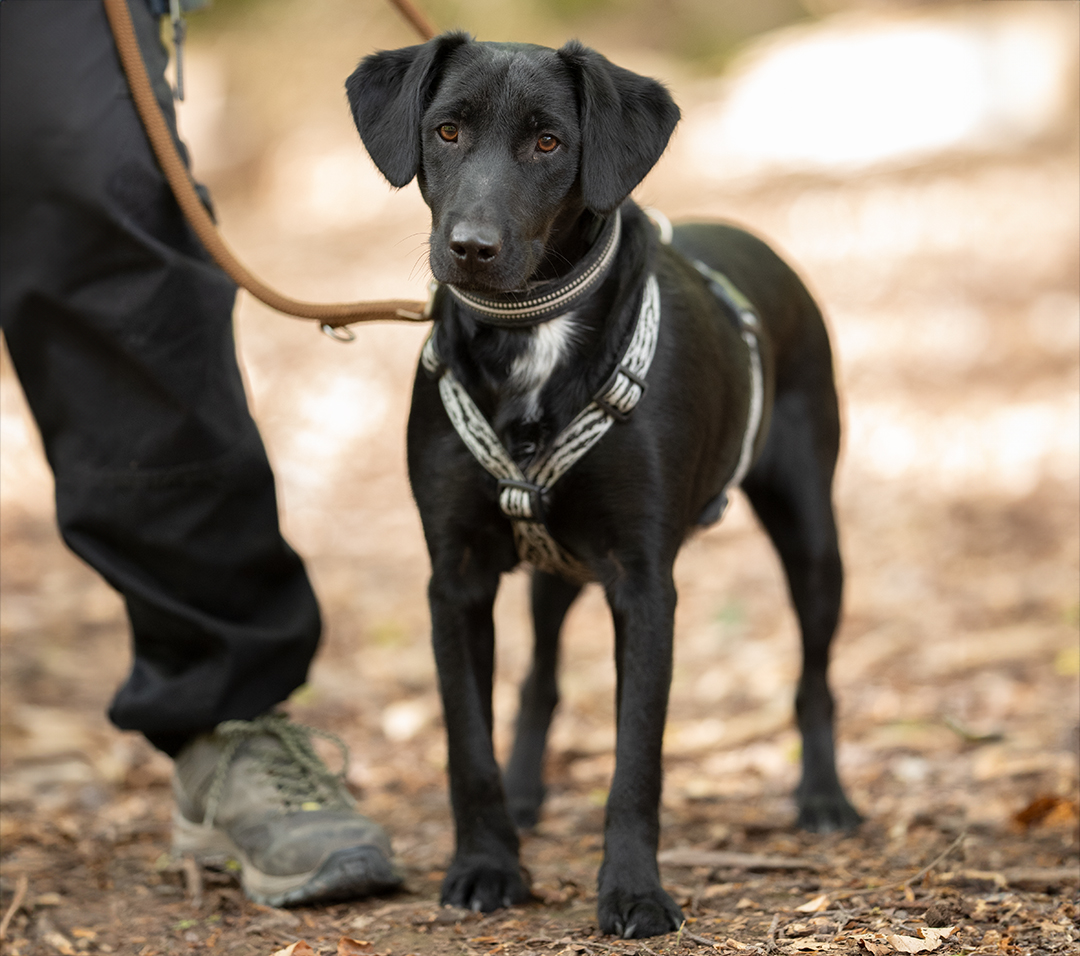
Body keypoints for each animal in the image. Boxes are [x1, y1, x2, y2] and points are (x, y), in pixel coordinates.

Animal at [346, 33, 861, 939]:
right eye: (445, 131)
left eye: (549, 142)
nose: (470, 248)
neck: (531, 337)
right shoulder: (457, 577)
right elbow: (467, 743)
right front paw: (487, 864)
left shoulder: (642, 581)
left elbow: (635, 759)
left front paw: (633, 891)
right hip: (556, 567)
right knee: (540, 676)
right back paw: (527, 792)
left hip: (811, 530)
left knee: (814, 676)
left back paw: (823, 796)